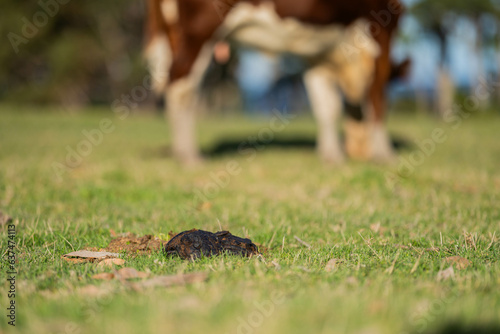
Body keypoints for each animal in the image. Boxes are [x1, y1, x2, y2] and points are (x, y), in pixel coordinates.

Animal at [145, 0, 406, 165]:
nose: (359, 153)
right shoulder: (382, 32)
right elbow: (377, 99)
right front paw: (385, 154)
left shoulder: (318, 52)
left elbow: (327, 107)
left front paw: (331, 155)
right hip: (201, 28)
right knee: (181, 85)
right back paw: (190, 156)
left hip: (176, 32)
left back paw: (181, 151)